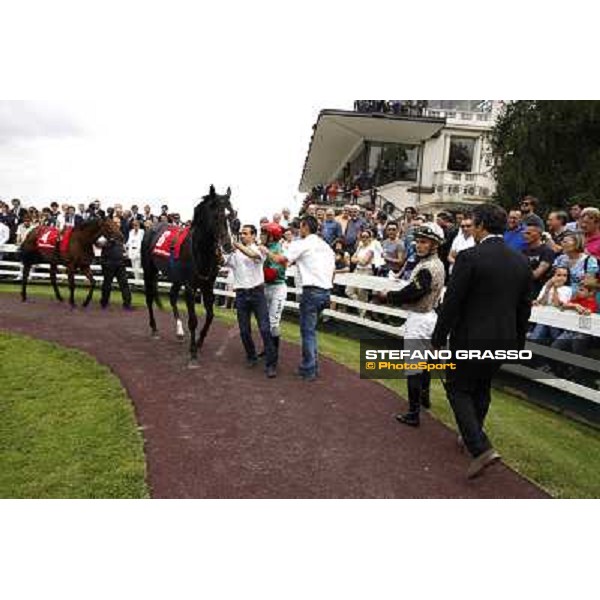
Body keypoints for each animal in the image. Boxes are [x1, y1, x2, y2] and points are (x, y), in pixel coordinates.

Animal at [142, 186, 236, 366]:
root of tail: (152, 227)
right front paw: (192, 352)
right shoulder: (190, 287)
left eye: (233, 214)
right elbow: (193, 320)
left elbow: (210, 315)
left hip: (176, 278)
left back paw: (179, 332)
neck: (199, 250)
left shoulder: (207, 286)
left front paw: (199, 342)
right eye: (217, 215)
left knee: (172, 297)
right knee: (149, 298)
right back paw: (154, 328)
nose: (228, 245)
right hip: (149, 270)